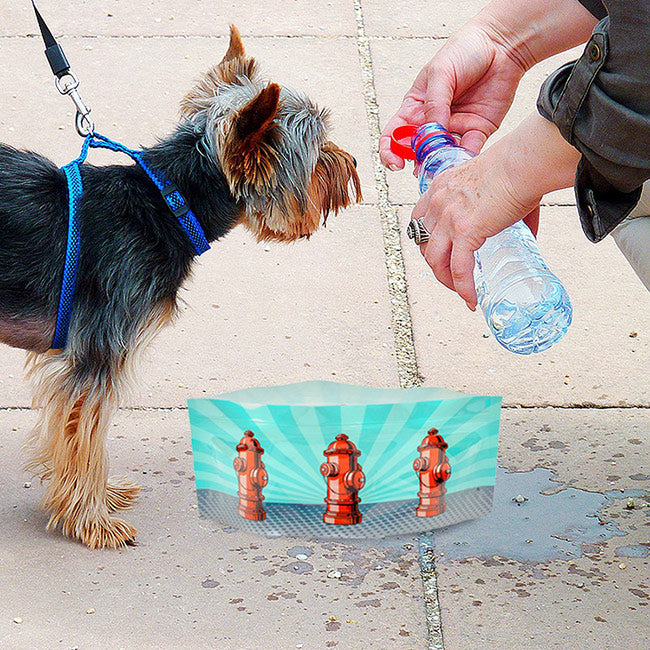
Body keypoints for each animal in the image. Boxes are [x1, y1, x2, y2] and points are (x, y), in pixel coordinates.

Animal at [0, 27, 360, 548]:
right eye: (317, 154)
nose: (352, 164)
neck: (170, 202)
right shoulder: (96, 357)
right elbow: (85, 437)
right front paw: (92, 519)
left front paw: (93, 500)